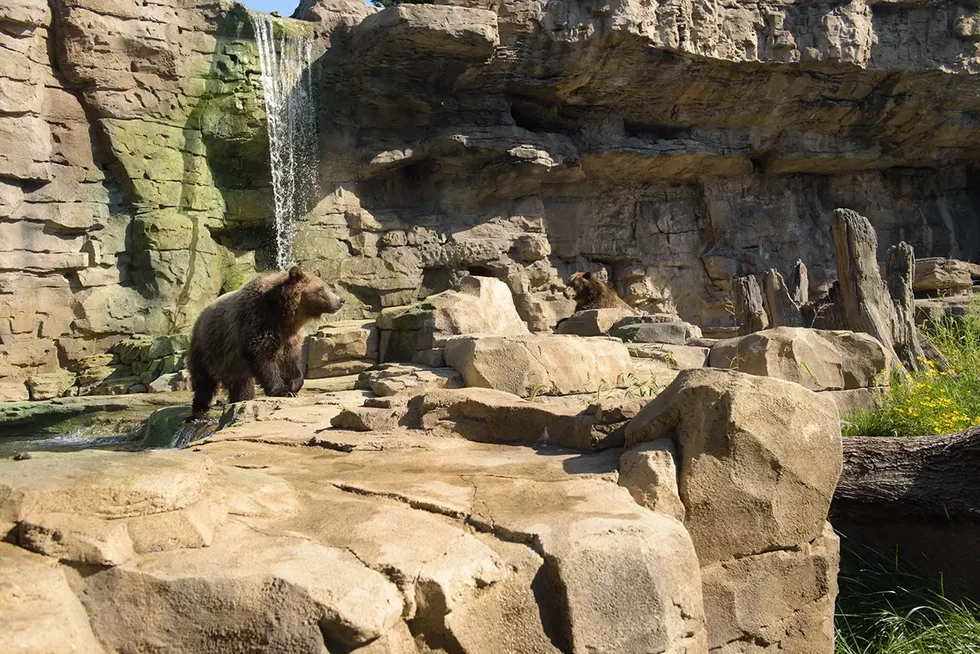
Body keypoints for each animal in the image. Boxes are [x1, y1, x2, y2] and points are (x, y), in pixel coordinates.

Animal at [187, 266, 345, 418]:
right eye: (320, 290)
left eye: (327, 287)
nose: (340, 300)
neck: (283, 316)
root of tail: (201, 315)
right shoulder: (258, 322)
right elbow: (263, 358)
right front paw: (282, 390)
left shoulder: (290, 338)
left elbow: (291, 360)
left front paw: (293, 385)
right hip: (208, 348)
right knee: (204, 381)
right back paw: (200, 408)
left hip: (232, 362)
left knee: (240, 383)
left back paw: (240, 399)